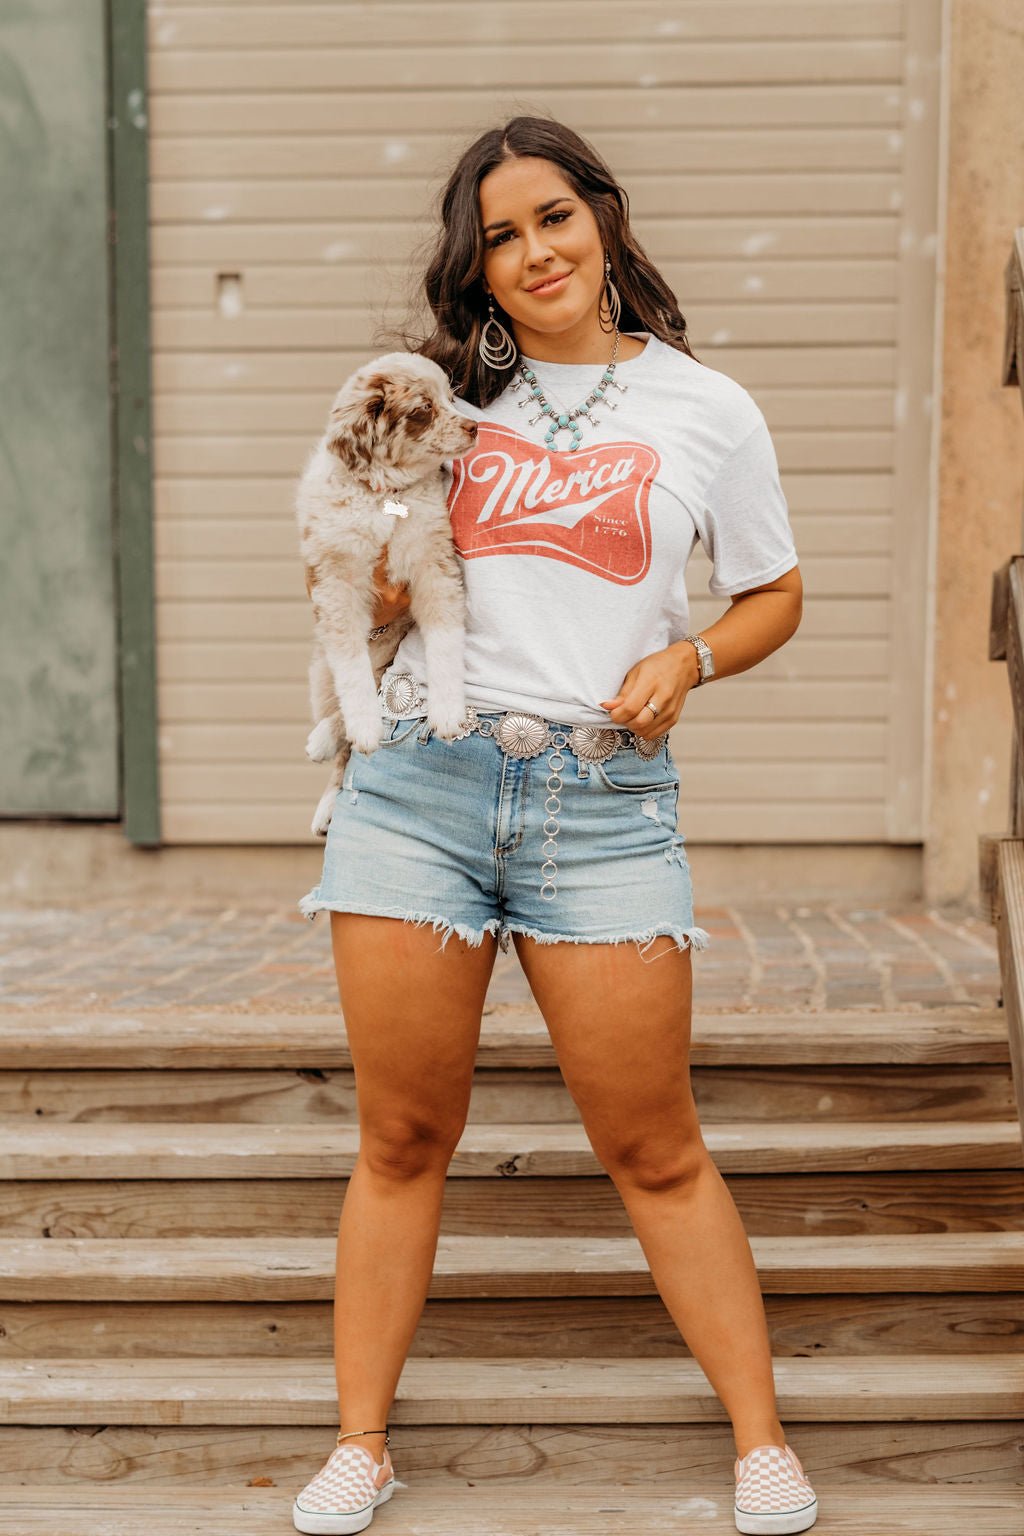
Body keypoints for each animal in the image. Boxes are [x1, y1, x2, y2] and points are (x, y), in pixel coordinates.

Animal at [291, 350, 475, 835]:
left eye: (451, 398)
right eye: (424, 408)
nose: (473, 427)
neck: (386, 498)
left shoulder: (435, 567)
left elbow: (445, 646)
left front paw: (448, 712)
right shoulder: (336, 584)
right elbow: (352, 669)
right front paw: (365, 726)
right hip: (319, 671)